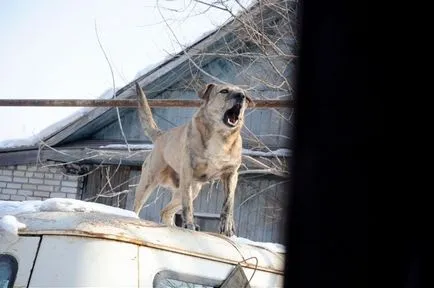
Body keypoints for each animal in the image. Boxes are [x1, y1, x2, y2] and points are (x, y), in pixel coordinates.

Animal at [134, 81, 253, 236]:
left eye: (243, 93)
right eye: (224, 91)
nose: (241, 96)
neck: (221, 136)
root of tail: (161, 135)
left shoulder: (231, 174)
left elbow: (228, 202)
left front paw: (227, 226)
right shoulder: (188, 172)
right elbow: (188, 205)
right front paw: (189, 225)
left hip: (192, 189)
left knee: (165, 211)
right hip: (149, 181)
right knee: (138, 206)